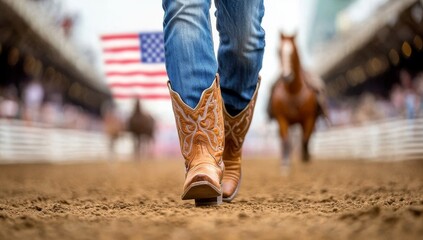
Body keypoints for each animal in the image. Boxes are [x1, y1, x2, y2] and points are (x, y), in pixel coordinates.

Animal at [268, 32, 328, 170]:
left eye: (293, 51)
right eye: (278, 51)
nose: (286, 76)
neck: (293, 92)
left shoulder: (309, 118)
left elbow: (306, 138)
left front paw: (305, 158)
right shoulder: (281, 118)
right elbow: (286, 140)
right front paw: (285, 164)